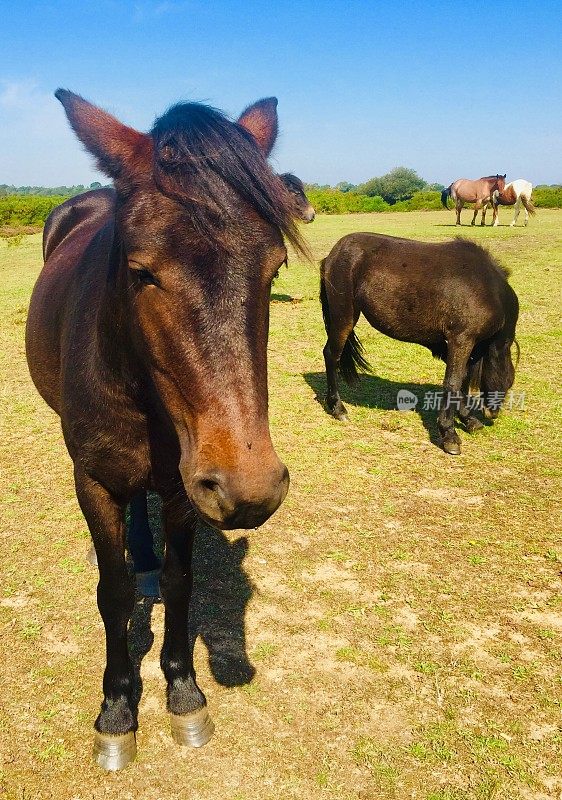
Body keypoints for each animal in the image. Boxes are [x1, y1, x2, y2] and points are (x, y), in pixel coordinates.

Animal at [25, 90, 306, 772]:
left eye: (274, 269)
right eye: (141, 271)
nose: (250, 489)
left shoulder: (185, 488)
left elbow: (180, 583)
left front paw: (183, 692)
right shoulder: (94, 482)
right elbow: (114, 592)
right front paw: (116, 710)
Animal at [318, 234, 520, 454]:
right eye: (508, 381)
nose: (493, 413)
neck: (488, 287)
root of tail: (333, 254)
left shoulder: (466, 346)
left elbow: (463, 381)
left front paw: (468, 419)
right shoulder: (461, 340)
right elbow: (453, 382)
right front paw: (449, 434)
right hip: (344, 316)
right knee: (331, 355)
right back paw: (338, 408)